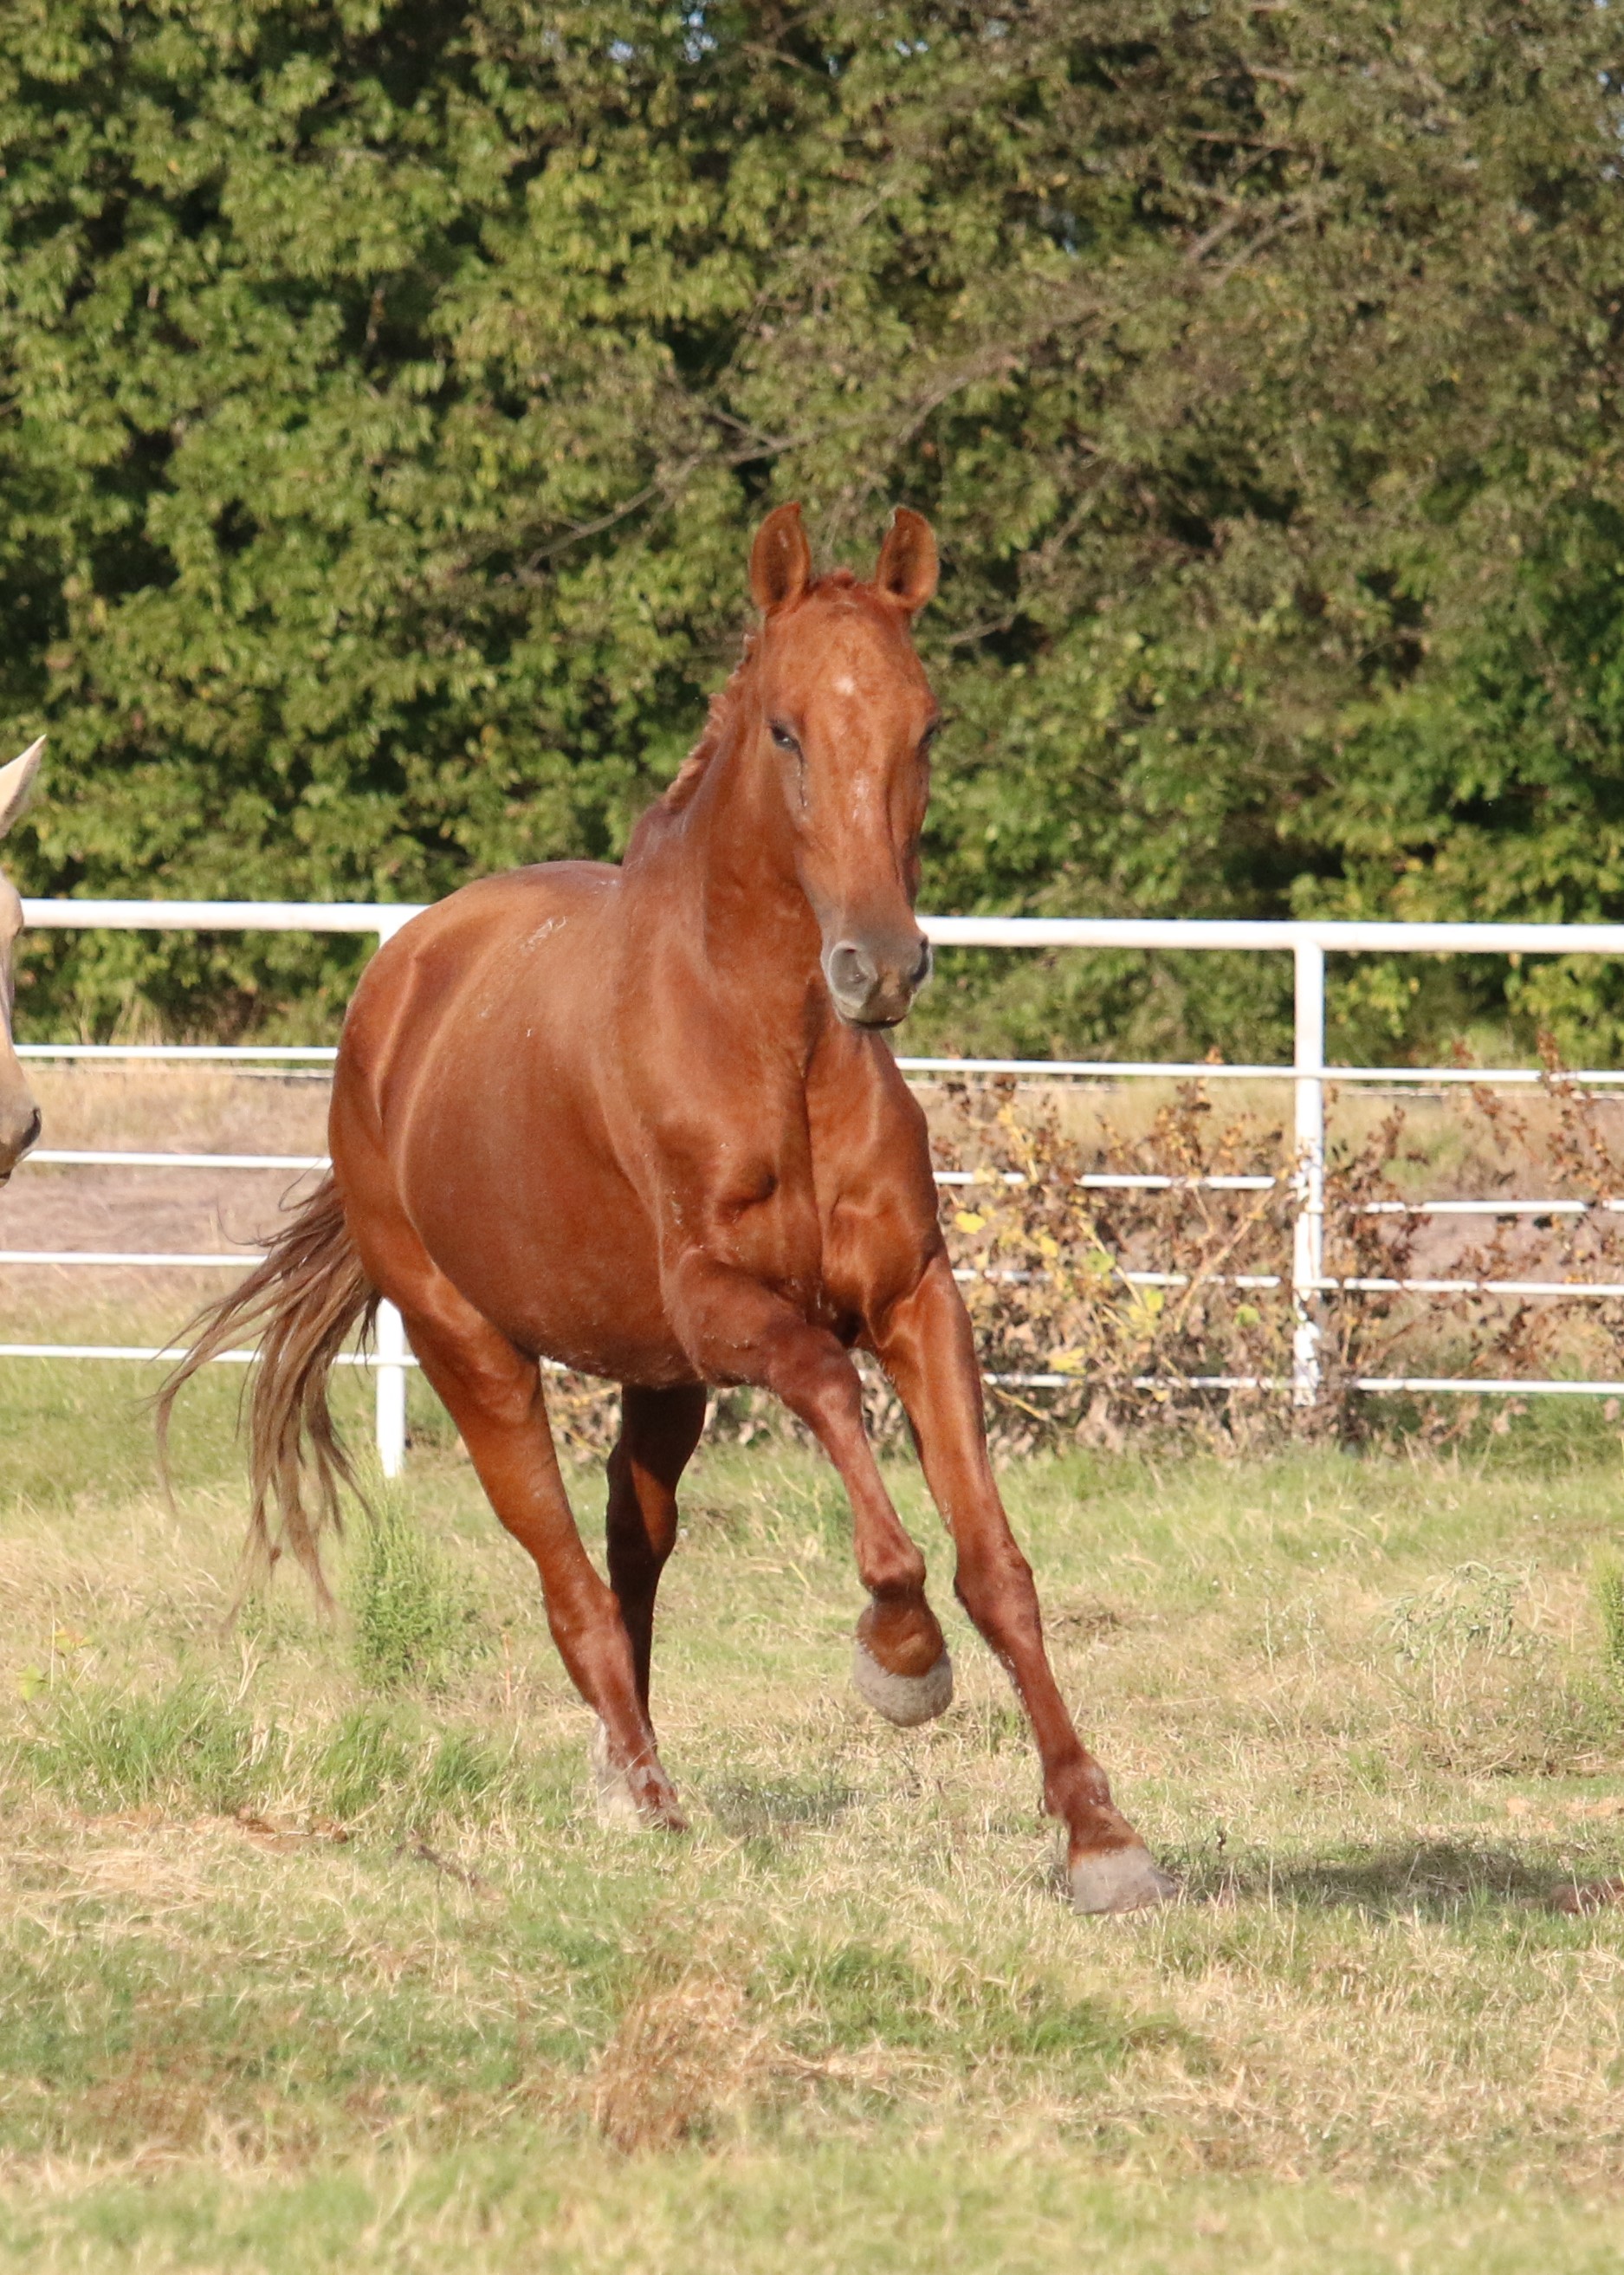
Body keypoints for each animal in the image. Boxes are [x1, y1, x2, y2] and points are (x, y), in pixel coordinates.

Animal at [170, 507, 1174, 1910]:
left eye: (927, 725)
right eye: (786, 730)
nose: (878, 966)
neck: (768, 1044)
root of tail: (399, 985)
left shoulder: (914, 1297)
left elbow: (997, 1565)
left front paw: (1097, 1832)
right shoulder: (719, 1307)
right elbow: (829, 1389)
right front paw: (901, 1654)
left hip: (655, 1382)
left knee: (628, 1549)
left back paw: (623, 1764)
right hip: (475, 1351)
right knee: (568, 1579)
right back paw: (648, 1797)